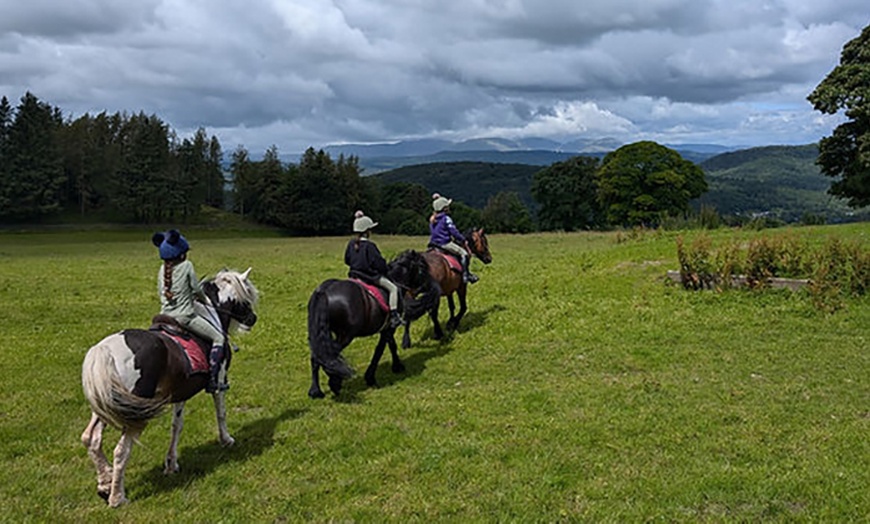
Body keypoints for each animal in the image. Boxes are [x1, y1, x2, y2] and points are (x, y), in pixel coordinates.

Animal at [79, 268, 258, 506]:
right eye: (246, 295)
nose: (252, 318)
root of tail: (104, 351)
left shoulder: (180, 392)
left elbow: (176, 425)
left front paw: (171, 463)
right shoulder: (219, 379)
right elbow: (221, 413)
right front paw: (226, 440)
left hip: (106, 408)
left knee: (92, 439)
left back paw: (105, 483)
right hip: (132, 414)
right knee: (120, 451)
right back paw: (118, 497)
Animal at [310, 250, 440, 398]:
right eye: (422, 267)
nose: (432, 285)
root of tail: (324, 290)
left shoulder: (387, 328)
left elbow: (391, 345)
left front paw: (396, 366)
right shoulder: (388, 328)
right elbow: (381, 349)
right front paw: (371, 377)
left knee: (317, 356)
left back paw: (316, 391)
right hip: (345, 336)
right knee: (328, 355)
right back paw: (334, 383)